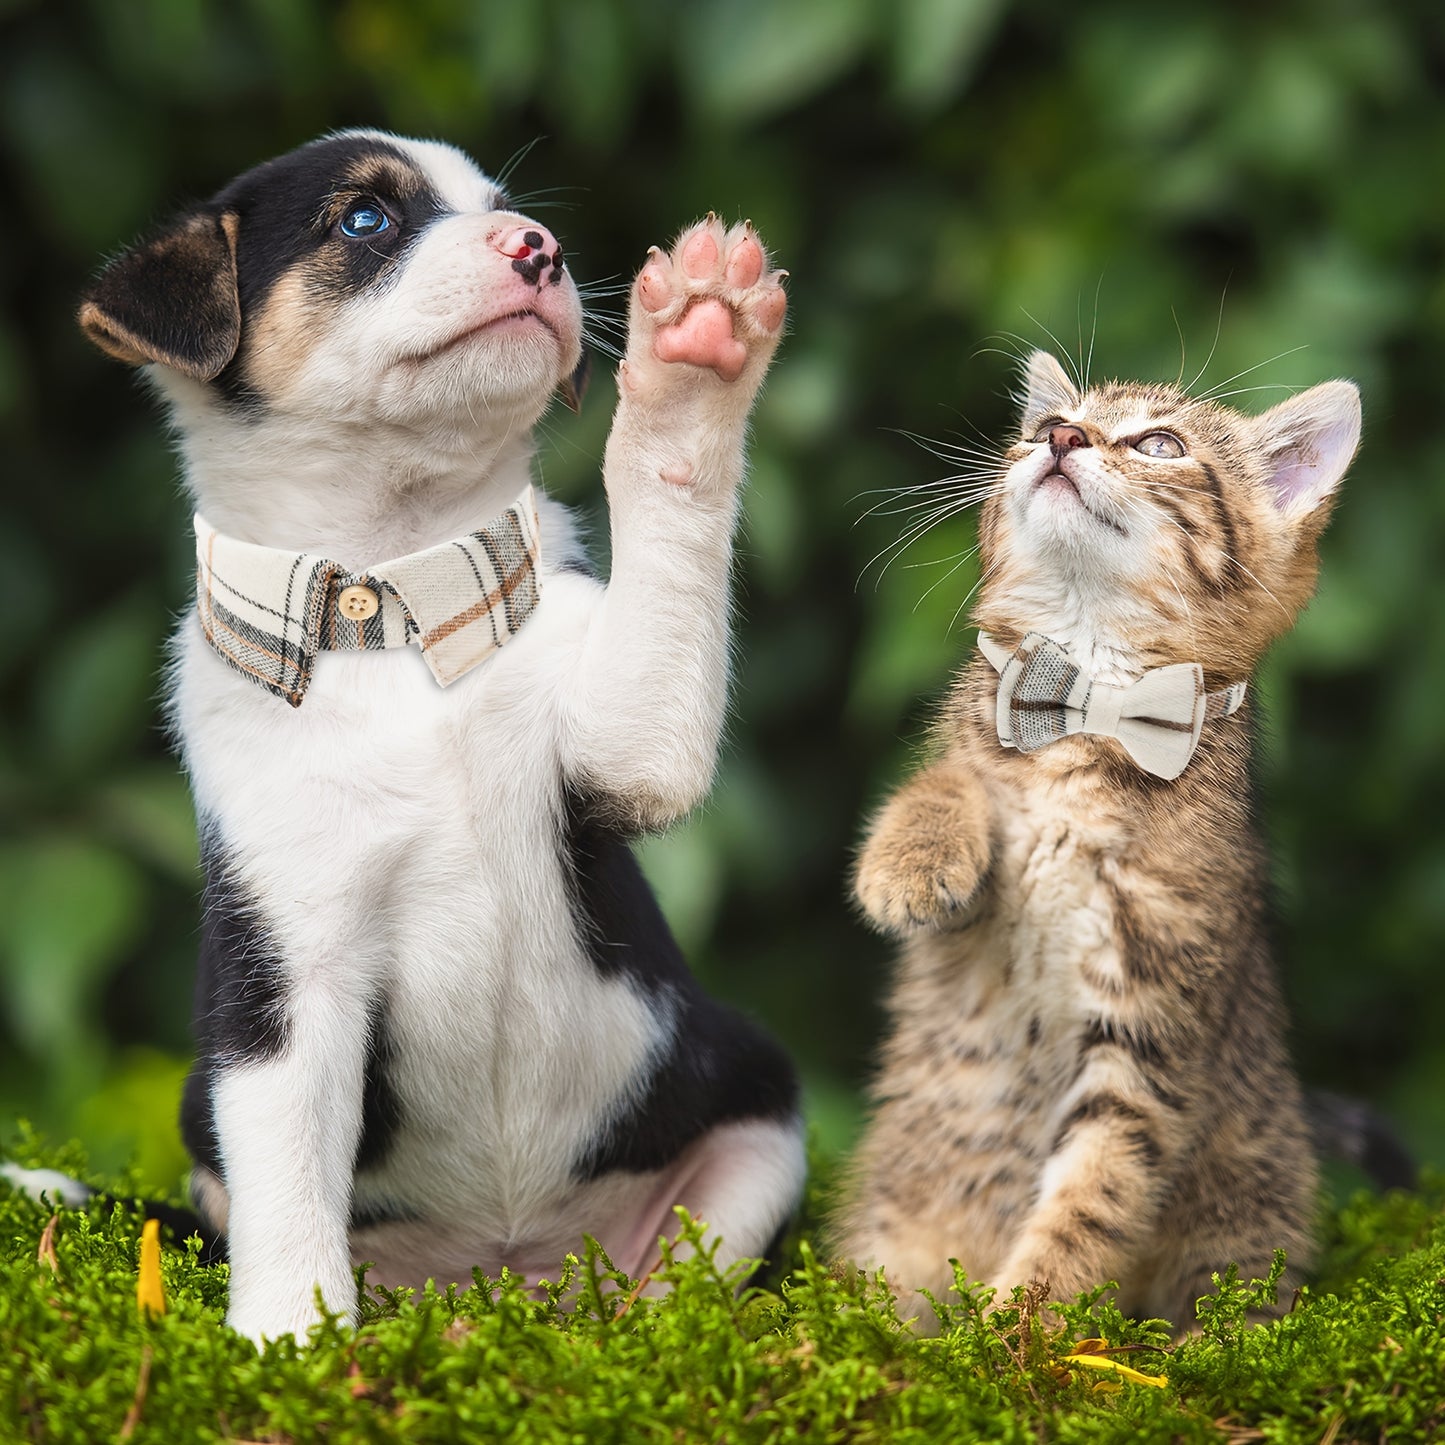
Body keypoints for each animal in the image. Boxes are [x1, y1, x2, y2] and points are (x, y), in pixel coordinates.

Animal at [65, 127, 803, 1340]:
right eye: (365, 219)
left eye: (503, 206)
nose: (540, 248)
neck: (393, 598)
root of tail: (504, 1276)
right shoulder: (286, 979)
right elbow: (287, 1186)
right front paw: (290, 1338)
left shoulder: (628, 748)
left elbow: (670, 489)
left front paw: (696, 347)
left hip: (754, 1110)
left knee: (676, 1283)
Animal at [838, 349, 1364, 1329]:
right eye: (1047, 425)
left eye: (1158, 444)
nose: (1060, 437)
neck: (1087, 701)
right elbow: (949, 777)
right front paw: (911, 858)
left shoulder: (1149, 1022)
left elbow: (1093, 1193)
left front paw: (1014, 1324)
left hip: (1253, 1202)